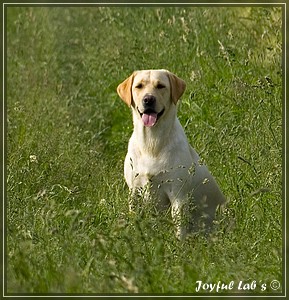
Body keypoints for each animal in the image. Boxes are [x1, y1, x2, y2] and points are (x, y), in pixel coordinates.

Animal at [116, 69, 224, 240]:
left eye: (160, 86)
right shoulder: (134, 191)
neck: (152, 143)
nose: (148, 99)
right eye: (139, 86)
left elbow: (180, 229)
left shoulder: (178, 195)